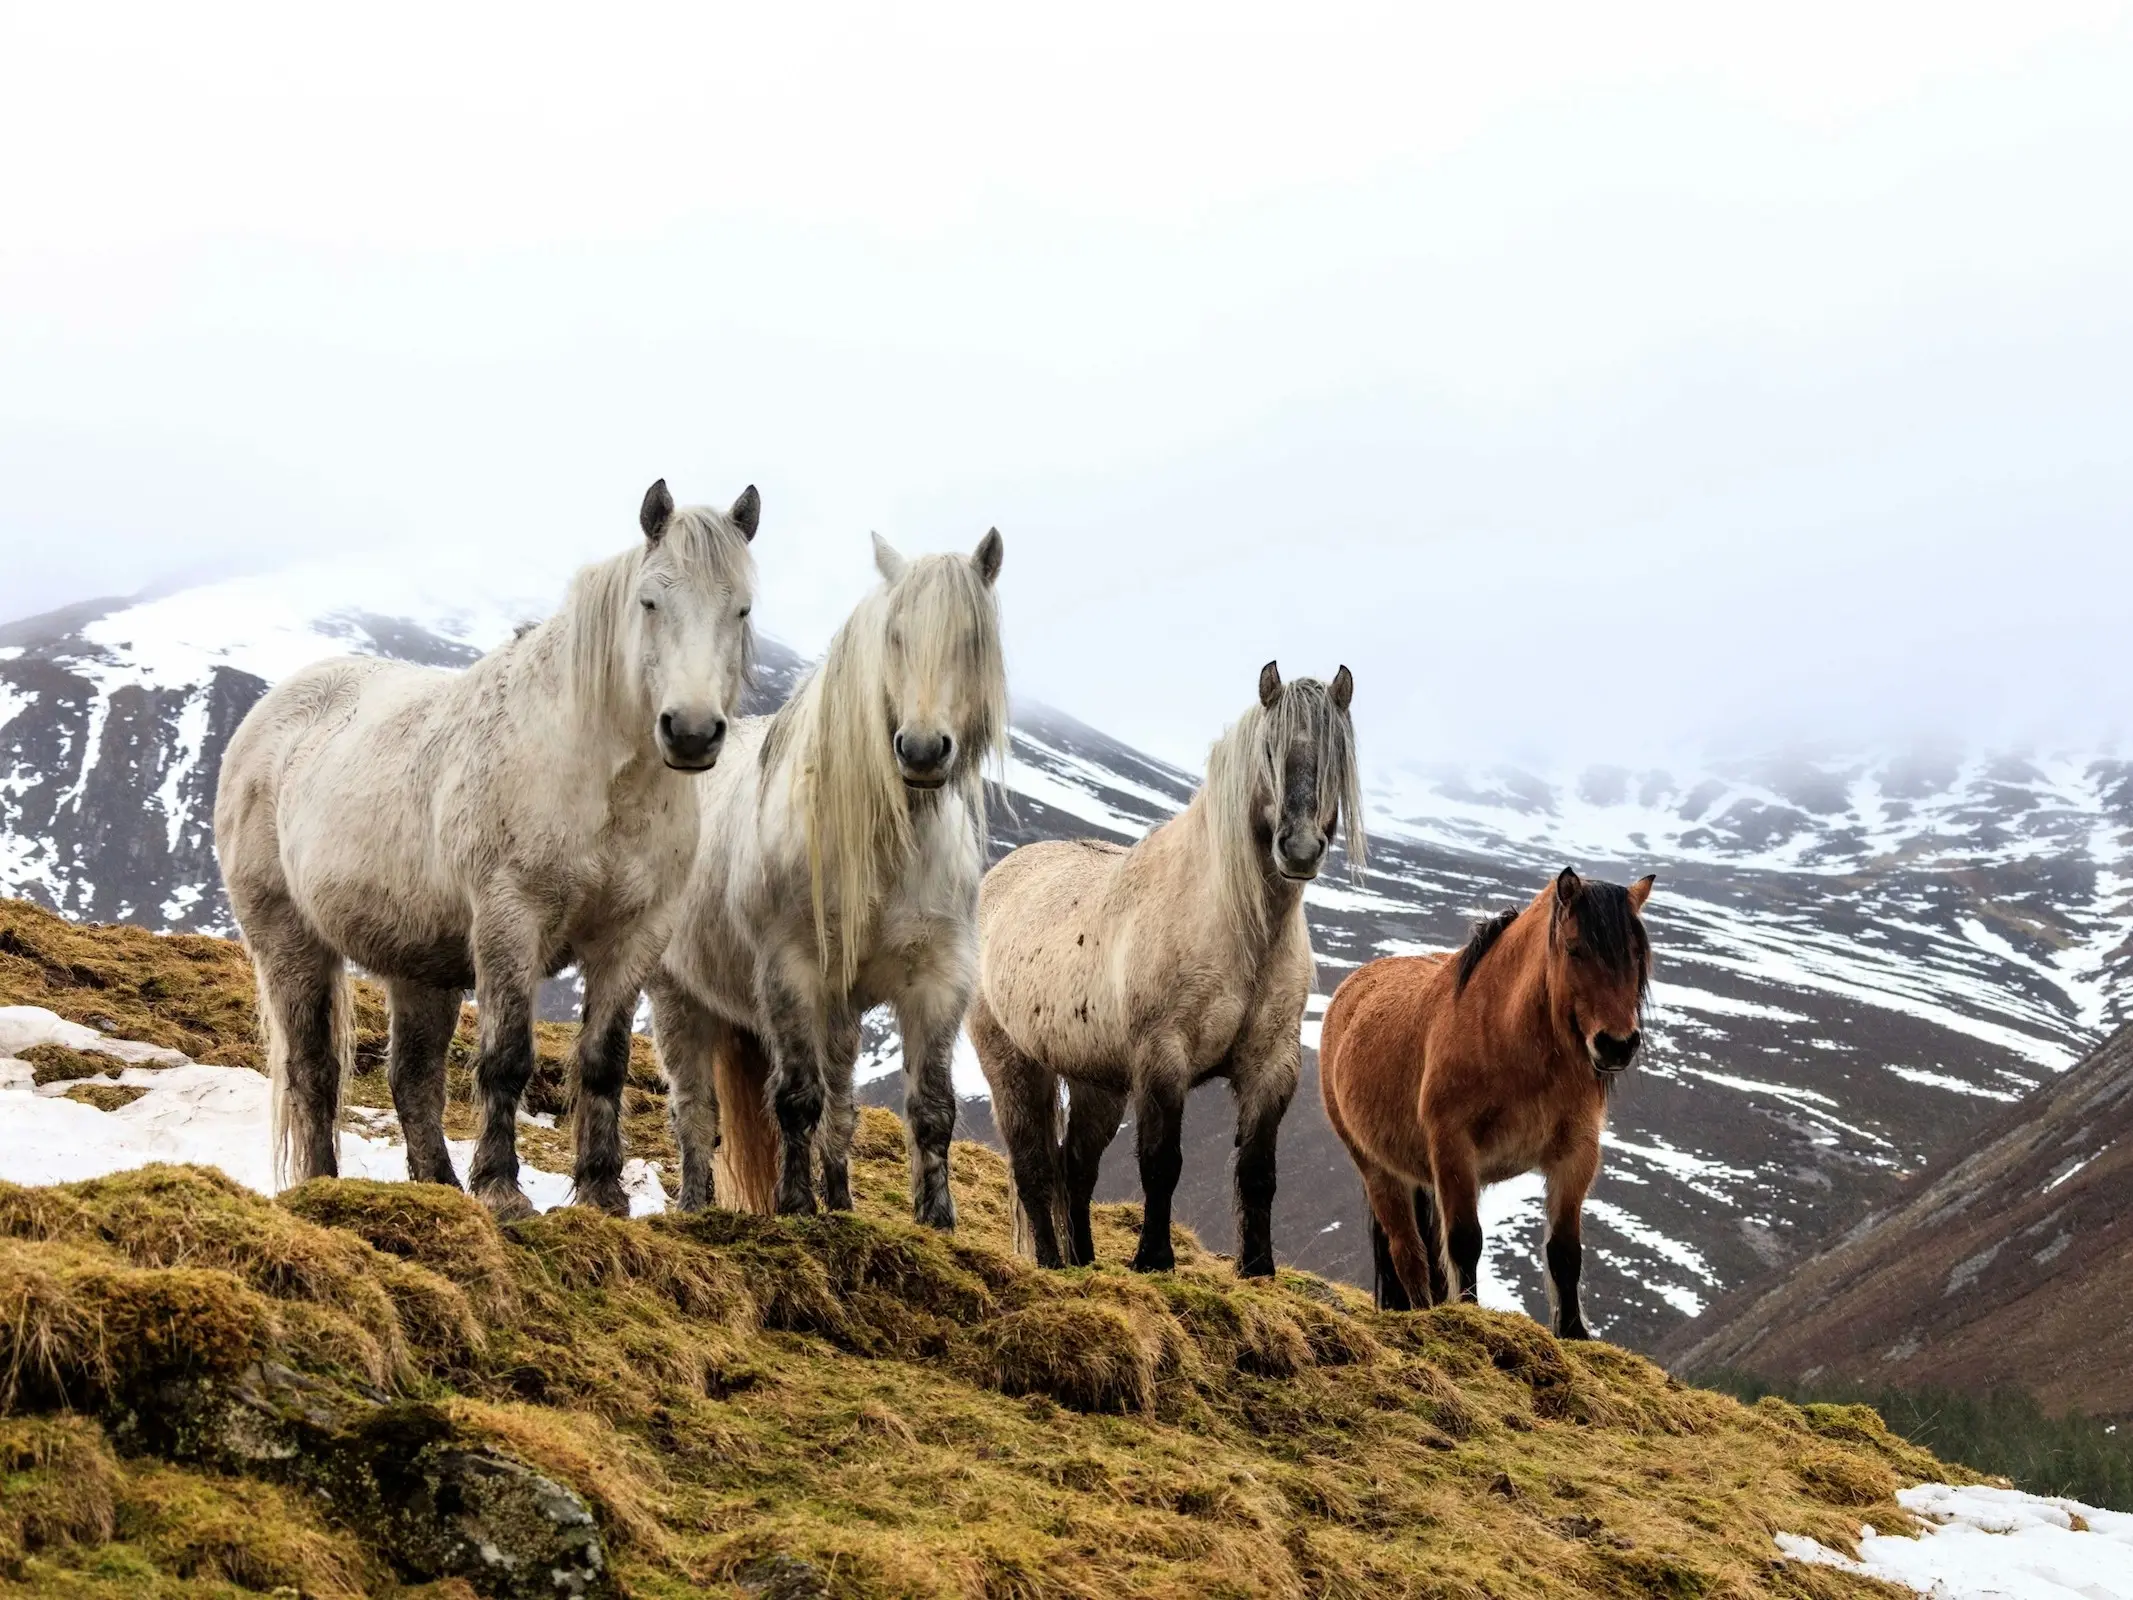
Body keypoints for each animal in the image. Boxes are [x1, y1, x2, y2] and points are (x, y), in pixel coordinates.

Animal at [216, 482, 763, 1220]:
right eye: (651, 601)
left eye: (742, 608)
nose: (693, 732)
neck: (598, 776)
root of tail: (269, 716)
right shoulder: (512, 918)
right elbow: (507, 1056)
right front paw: (503, 1190)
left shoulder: (635, 935)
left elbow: (604, 1062)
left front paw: (601, 1193)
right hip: (288, 940)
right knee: (314, 1071)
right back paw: (325, 1187)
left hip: (421, 966)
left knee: (412, 1078)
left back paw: (440, 1188)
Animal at [648, 533, 1006, 1220]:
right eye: (894, 635)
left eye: (973, 639)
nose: (923, 751)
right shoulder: (791, 972)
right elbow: (795, 1099)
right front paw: (794, 1204)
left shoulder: (938, 978)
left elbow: (931, 1109)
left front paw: (936, 1220)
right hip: (678, 997)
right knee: (696, 1113)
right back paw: (696, 1205)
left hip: (840, 1015)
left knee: (839, 1107)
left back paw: (840, 1200)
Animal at [972, 661, 1356, 1280]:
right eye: (1268, 750)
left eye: (1336, 751)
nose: (1299, 850)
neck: (1238, 928)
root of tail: (997, 877)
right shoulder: (1162, 1057)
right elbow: (1161, 1162)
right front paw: (1153, 1259)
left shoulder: (1272, 1065)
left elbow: (1258, 1171)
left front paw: (1258, 1268)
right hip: (1013, 1064)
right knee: (1033, 1166)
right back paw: (1053, 1264)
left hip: (1097, 1080)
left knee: (1075, 1167)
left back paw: (1083, 1262)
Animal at [1322, 870, 1655, 1331]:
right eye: (1575, 949)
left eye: (1638, 953)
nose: (1617, 1045)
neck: (1507, 1039)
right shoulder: (1453, 1148)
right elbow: (1466, 1241)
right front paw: (1469, 1315)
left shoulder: (1576, 1154)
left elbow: (1565, 1251)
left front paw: (1574, 1333)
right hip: (1378, 1171)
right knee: (1408, 1253)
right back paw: (1423, 1311)